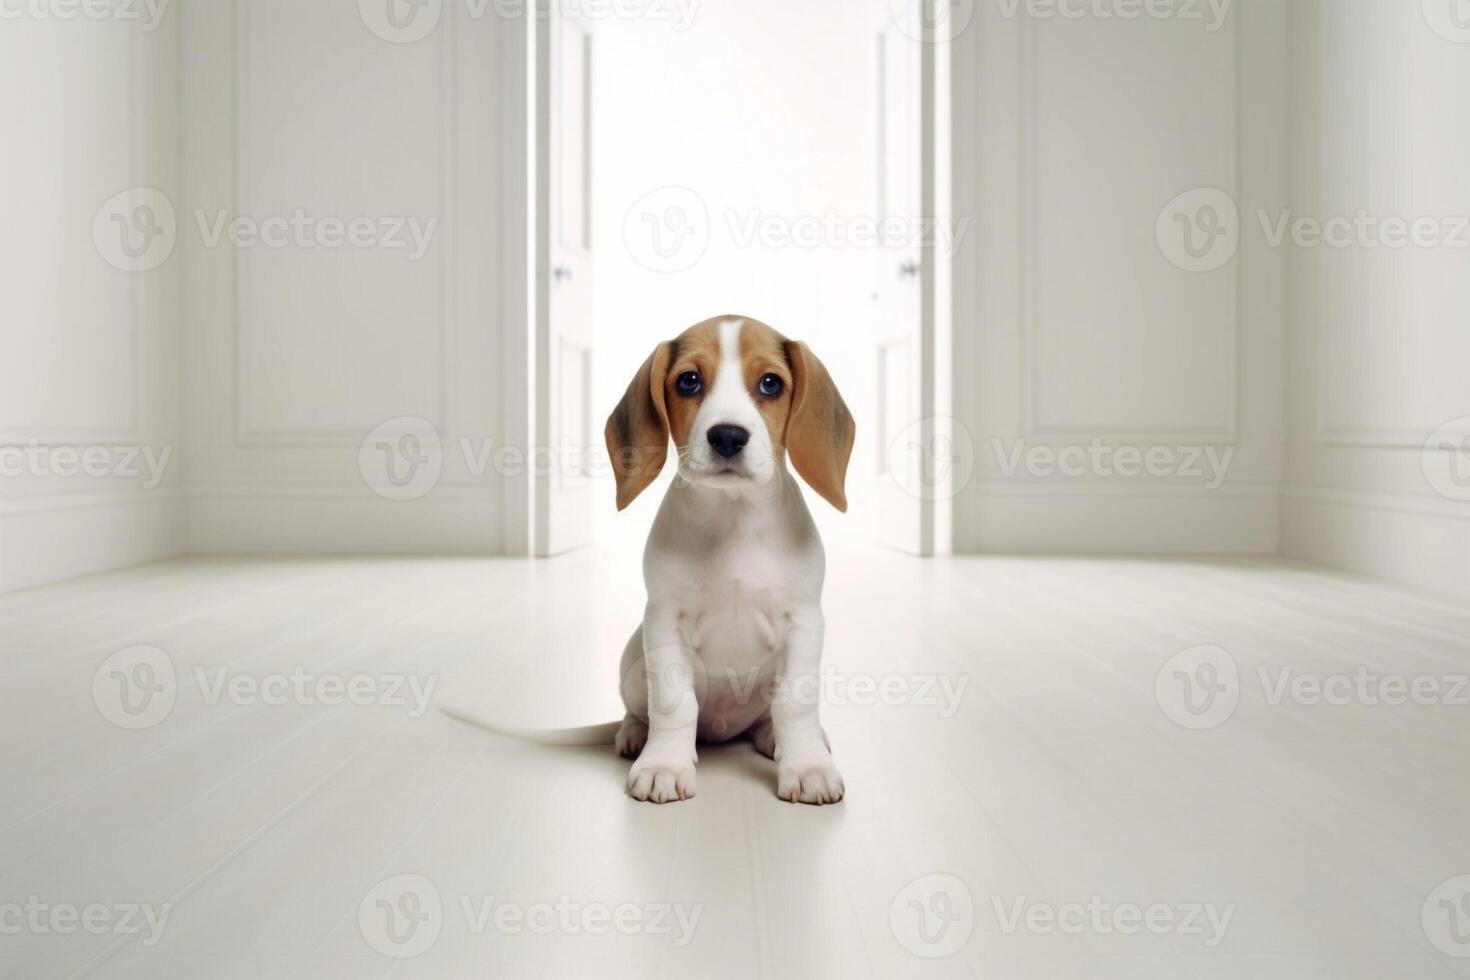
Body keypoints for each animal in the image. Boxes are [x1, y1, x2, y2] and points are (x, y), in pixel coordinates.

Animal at [605, 314, 858, 805]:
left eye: (770, 383)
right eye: (688, 380)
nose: (727, 435)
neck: (733, 516)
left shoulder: (803, 622)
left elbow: (794, 704)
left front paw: (808, 766)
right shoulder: (664, 622)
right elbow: (674, 701)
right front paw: (664, 764)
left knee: (769, 718)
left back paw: (777, 738)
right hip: (633, 660)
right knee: (641, 708)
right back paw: (634, 734)